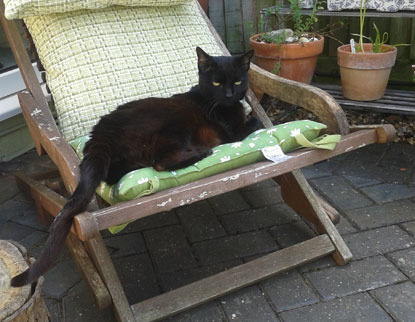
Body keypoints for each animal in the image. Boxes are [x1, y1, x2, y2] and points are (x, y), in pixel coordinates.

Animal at [10, 46, 260, 286]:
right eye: (217, 83)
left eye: (237, 82)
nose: (229, 95)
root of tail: (100, 134)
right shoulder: (230, 134)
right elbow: (253, 122)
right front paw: (249, 121)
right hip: (174, 120)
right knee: (159, 163)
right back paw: (201, 152)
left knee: (120, 172)